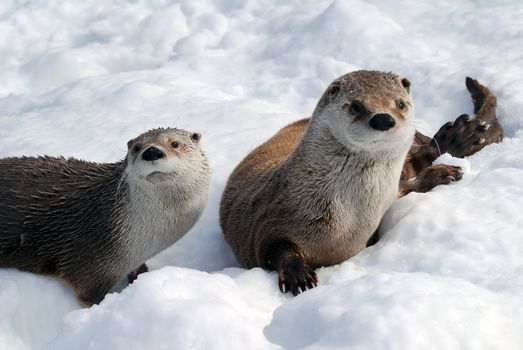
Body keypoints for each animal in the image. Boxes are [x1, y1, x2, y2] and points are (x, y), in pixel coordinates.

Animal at [220, 71, 504, 296]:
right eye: (356, 106)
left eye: (400, 104)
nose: (383, 118)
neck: (349, 218)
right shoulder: (268, 222)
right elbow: (276, 249)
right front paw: (297, 275)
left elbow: (405, 188)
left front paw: (442, 173)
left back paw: (457, 139)